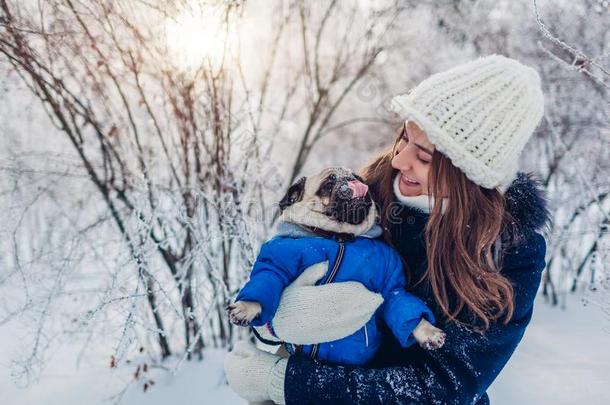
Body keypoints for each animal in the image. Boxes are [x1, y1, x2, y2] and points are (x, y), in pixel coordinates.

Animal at [226, 166, 444, 360]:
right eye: (328, 183)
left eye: (358, 178)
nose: (351, 180)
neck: (340, 237)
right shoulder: (280, 259)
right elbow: (268, 276)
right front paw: (247, 306)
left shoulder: (390, 284)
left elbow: (400, 301)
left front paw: (427, 331)